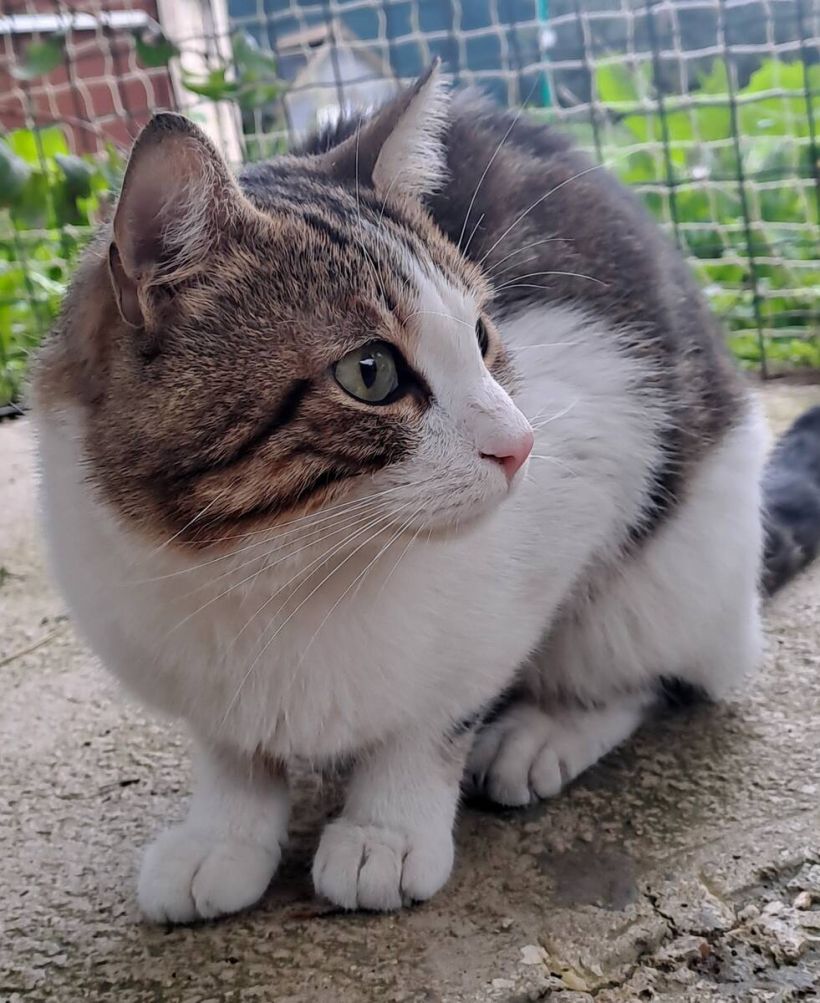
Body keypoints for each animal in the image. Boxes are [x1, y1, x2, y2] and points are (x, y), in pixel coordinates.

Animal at [32, 63, 815, 922]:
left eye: (482, 336)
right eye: (370, 373)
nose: (521, 443)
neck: (271, 568)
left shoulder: (598, 420)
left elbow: (442, 703)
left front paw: (389, 824)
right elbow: (230, 745)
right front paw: (225, 831)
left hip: (681, 567)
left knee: (652, 664)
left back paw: (549, 728)